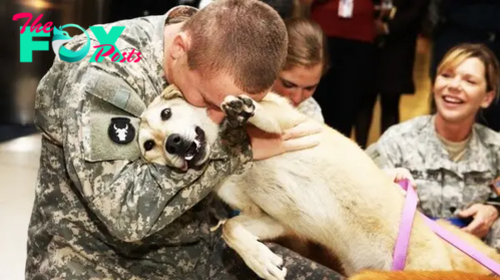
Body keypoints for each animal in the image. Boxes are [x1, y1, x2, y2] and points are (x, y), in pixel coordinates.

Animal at [137, 85, 500, 280]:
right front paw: (261, 261)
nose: (174, 144)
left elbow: (266, 114)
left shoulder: (290, 121)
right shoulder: (275, 220)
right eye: (148, 145)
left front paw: (244, 111)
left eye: (167, 114)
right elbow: (230, 228)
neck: (235, 160)